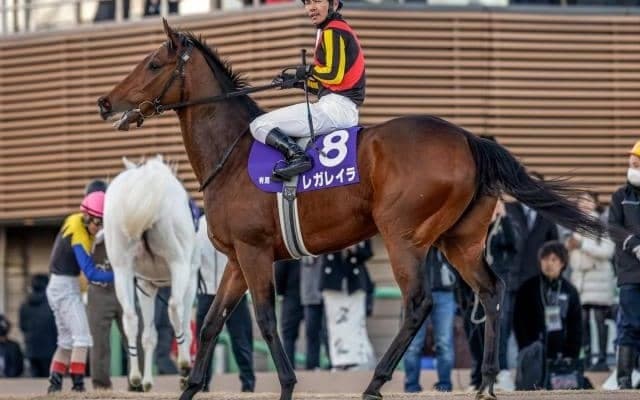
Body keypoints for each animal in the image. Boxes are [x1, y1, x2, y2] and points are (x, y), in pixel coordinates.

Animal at [103, 155, 199, 391]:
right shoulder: (191, 279)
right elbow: (185, 326)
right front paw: (184, 371)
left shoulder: (146, 286)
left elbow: (148, 336)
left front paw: (146, 380)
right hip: (179, 264)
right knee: (174, 307)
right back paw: (184, 364)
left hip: (122, 271)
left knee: (130, 318)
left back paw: (136, 377)